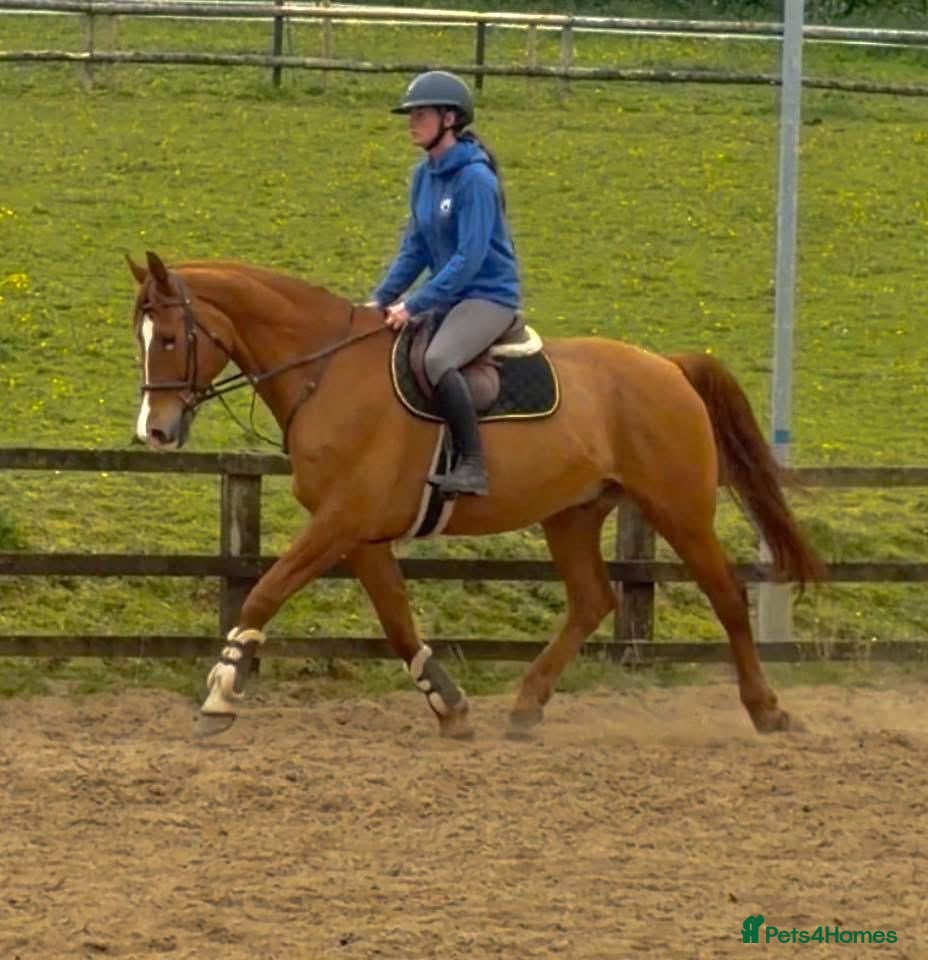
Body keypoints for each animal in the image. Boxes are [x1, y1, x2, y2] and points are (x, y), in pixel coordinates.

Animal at [128, 250, 824, 739]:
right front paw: (451, 707)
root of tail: (669, 367)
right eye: (141, 338)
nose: (154, 431)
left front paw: (219, 696)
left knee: (726, 597)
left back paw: (767, 710)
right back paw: (525, 705)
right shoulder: (359, 532)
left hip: (678, 509)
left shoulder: (340, 521)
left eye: (170, 338)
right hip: (572, 514)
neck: (327, 372)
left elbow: (265, 593)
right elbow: (398, 620)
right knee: (592, 600)